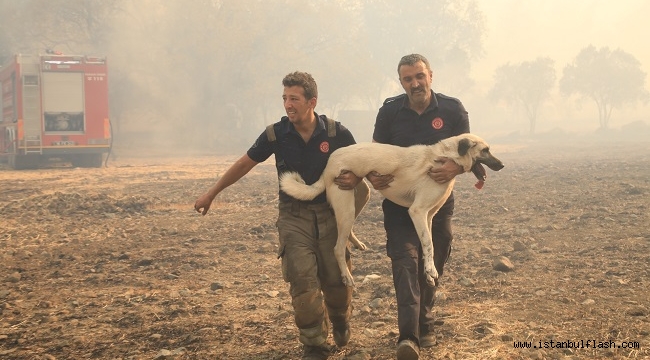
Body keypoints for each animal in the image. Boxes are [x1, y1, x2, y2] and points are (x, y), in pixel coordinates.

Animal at [278, 132, 502, 286]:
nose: (502, 165)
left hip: (360, 196)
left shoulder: (428, 216)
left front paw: (428, 272)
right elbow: (428, 243)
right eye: (485, 150)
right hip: (346, 206)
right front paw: (431, 271)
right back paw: (347, 277)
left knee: (346, 229)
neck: (445, 157)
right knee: (338, 248)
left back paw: (356, 244)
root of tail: (329, 163)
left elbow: (428, 245)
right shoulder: (417, 212)